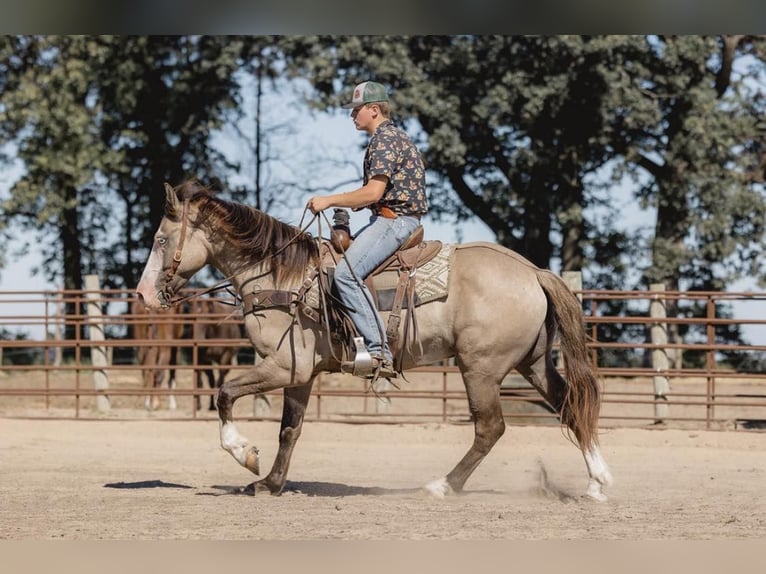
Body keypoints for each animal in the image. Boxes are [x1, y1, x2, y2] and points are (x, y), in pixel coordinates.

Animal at [138, 182, 616, 502]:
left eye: (160, 239)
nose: (143, 295)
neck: (283, 278)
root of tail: (533, 272)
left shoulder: (282, 366)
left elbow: (224, 393)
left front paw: (245, 455)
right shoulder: (301, 374)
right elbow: (289, 430)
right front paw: (270, 483)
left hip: (480, 367)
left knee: (490, 427)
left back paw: (442, 485)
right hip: (531, 363)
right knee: (570, 405)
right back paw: (597, 484)